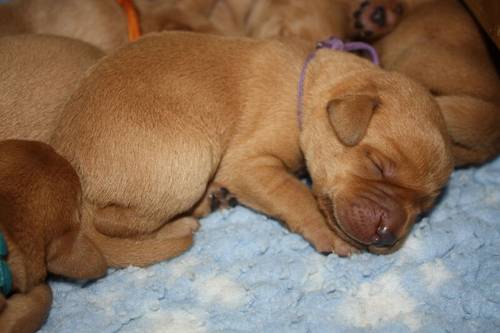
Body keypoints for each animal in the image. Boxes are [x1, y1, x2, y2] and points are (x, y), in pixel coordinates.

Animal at [49, 31, 454, 258]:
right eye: (377, 165)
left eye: (423, 206)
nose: (388, 237)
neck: (308, 87)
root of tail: (77, 190)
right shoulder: (248, 163)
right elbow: (296, 194)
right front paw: (326, 233)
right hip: (187, 160)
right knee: (114, 222)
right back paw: (188, 218)